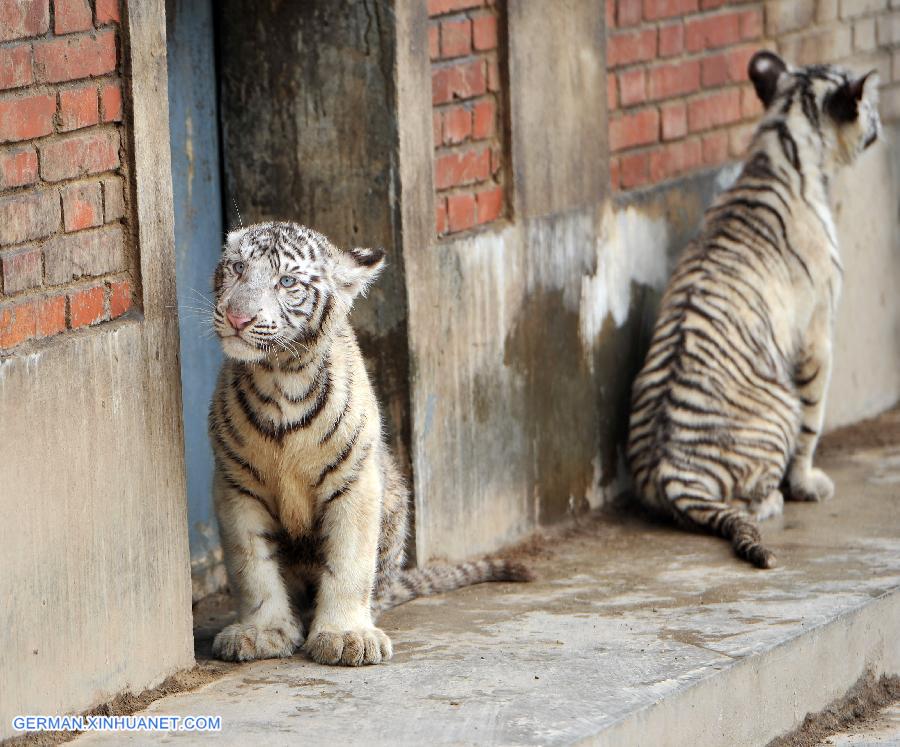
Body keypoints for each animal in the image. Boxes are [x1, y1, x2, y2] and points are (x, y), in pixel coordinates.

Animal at [207, 222, 532, 668]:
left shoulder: (355, 479)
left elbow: (350, 563)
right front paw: (262, 632)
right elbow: (252, 565)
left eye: (286, 281)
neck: (281, 379)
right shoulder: (236, 484)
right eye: (238, 267)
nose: (238, 317)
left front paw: (346, 637)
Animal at [624, 52, 880, 568]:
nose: (882, 120)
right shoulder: (819, 329)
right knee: (750, 496)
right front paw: (808, 485)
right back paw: (775, 498)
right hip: (778, 407)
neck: (782, 144)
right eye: (868, 104)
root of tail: (671, 473)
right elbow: (813, 417)